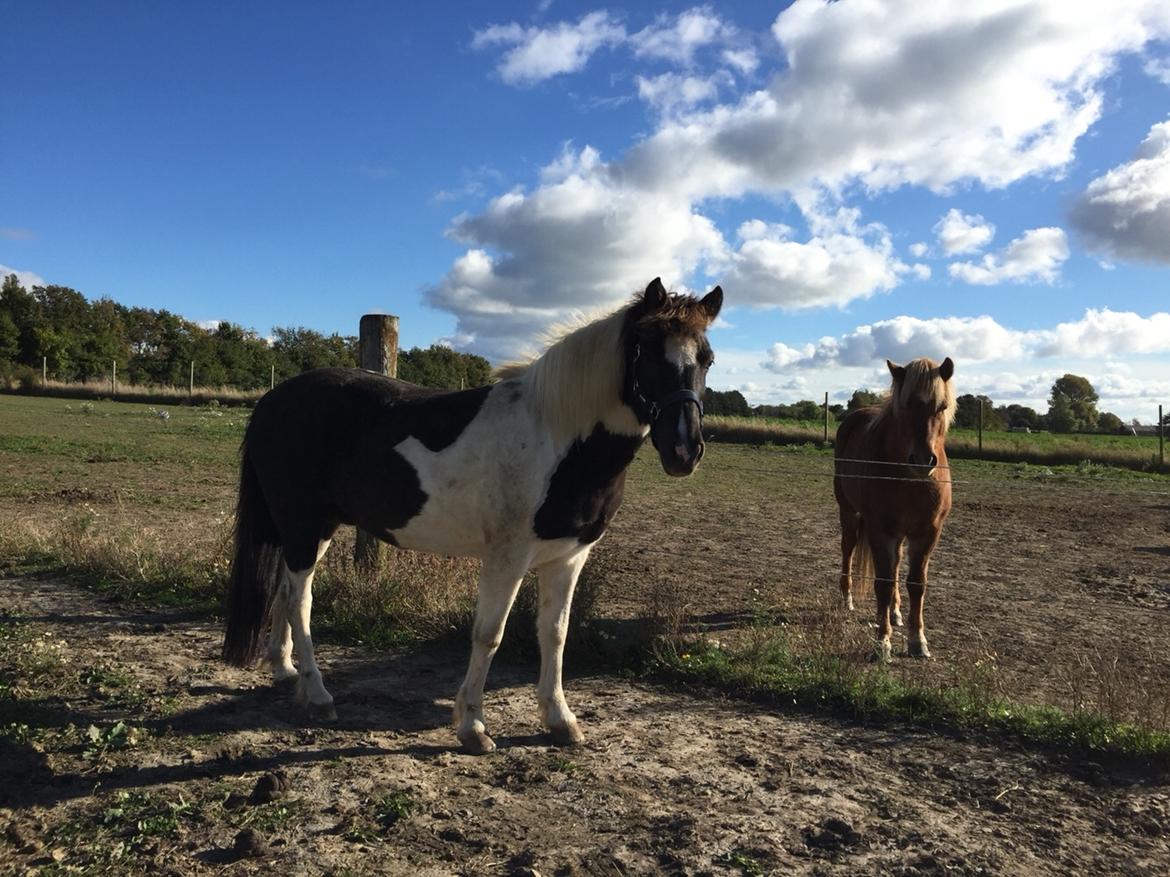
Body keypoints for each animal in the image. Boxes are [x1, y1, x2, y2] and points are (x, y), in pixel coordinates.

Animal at [221, 278, 720, 753]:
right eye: (647, 351)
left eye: (707, 359)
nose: (684, 451)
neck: (558, 440)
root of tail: (272, 399)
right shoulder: (507, 558)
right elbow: (489, 635)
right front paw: (473, 727)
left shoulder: (569, 557)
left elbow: (555, 633)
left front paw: (560, 720)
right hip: (302, 525)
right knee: (300, 601)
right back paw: (318, 694)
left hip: (313, 527)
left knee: (284, 591)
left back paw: (287, 671)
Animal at [833, 357, 950, 659]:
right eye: (905, 406)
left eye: (942, 407)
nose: (923, 460)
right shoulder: (880, 530)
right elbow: (883, 584)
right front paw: (882, 641)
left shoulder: (927, 533)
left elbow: (916, 583)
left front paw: (917, 640)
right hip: (849, 513)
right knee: (848, 549)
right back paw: (847, 598)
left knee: (896, 566)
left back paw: (896, 613)